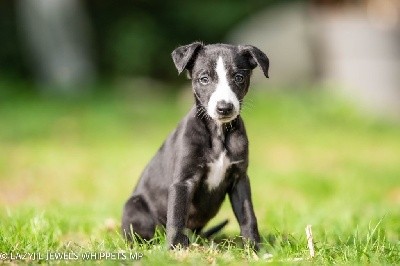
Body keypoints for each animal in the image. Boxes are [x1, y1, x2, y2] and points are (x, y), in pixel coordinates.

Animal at [122, 42, 270, 249]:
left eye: (239, 77)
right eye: (204, 79)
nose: (224, 108)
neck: (218, 133)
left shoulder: (239, 179)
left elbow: (248, 216)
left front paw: (254, 248)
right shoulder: (183, 181)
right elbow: (176, 216)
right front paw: (175, 248)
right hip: (134, 206)